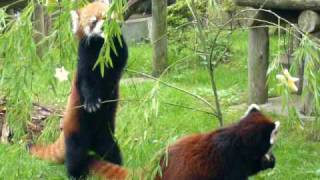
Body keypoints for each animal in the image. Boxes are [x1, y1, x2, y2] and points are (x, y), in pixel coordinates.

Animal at [28, 1, 129, 180]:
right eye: (93, 22)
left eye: (106, 16)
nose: (105, 26)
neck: (101, 46)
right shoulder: (85, 58)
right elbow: (86, 82)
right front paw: (92, 102)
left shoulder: (115, 54)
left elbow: (121, 57)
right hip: (77, 130)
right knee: (75, 154)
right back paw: (76, 174)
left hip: (105, 134)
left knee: (110, 150)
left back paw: (115, 163)